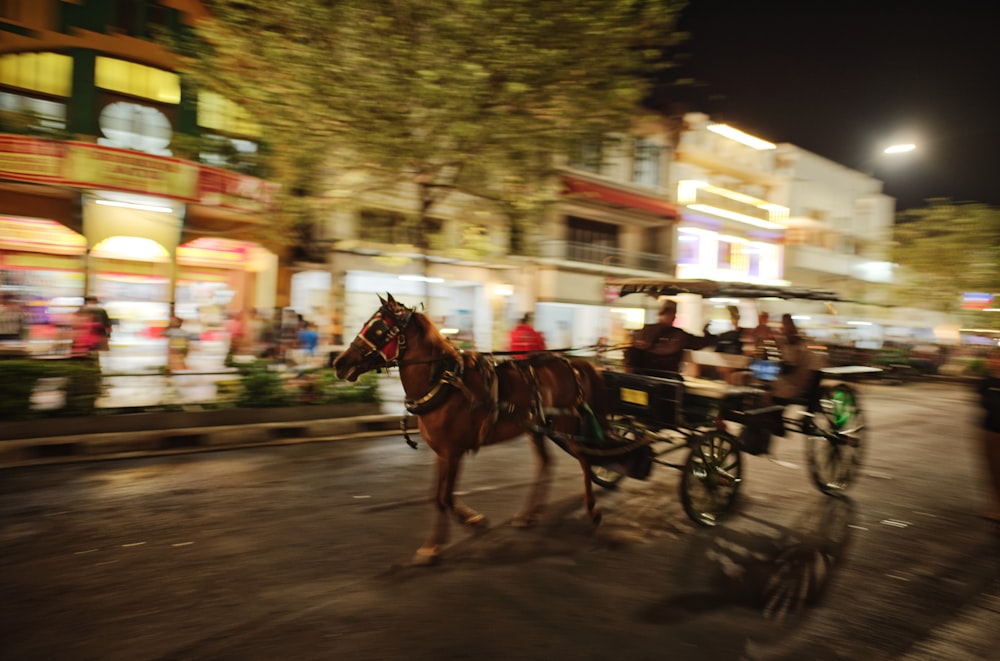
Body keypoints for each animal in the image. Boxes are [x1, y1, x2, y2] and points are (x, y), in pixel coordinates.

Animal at [336, 296, 608, 564]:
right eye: (366, 323)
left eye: (379, 329)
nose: (339, 363)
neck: (443, 382)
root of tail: (571, 364)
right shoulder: (442, 453)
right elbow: (438, 495)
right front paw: (469, 522)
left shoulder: (453, 452)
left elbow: (443, 497)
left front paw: (437, 543)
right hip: (538, 429)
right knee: (546, 463)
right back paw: (529, 514)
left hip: (566, 427)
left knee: (585, 459)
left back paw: (592, 510)